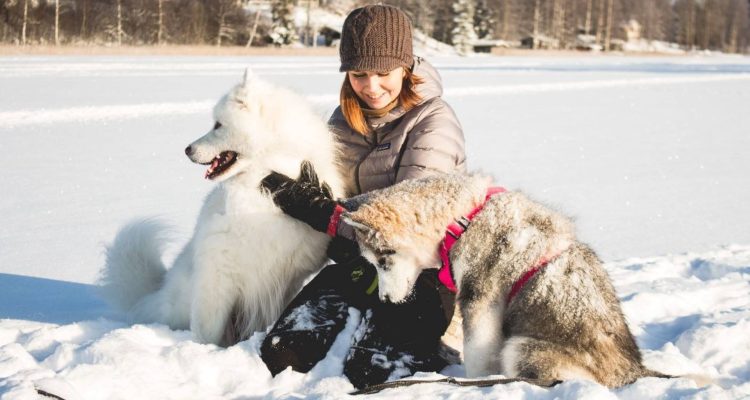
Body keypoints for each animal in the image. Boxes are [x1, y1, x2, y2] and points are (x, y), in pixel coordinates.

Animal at [99, 70, 344, 346]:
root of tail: (159, 291)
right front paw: (203, 350)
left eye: (218, 125)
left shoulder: (287, 278)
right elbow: (208, 330)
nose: (187, 150)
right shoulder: (218, 272)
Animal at [342, 173, 668, 390]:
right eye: (373, 263)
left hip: (521, 347)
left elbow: (478, 359)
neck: (463, 219)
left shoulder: (479, 302)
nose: (385, 300)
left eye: (382, 261)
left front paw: (476, 382)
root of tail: (632, 372)